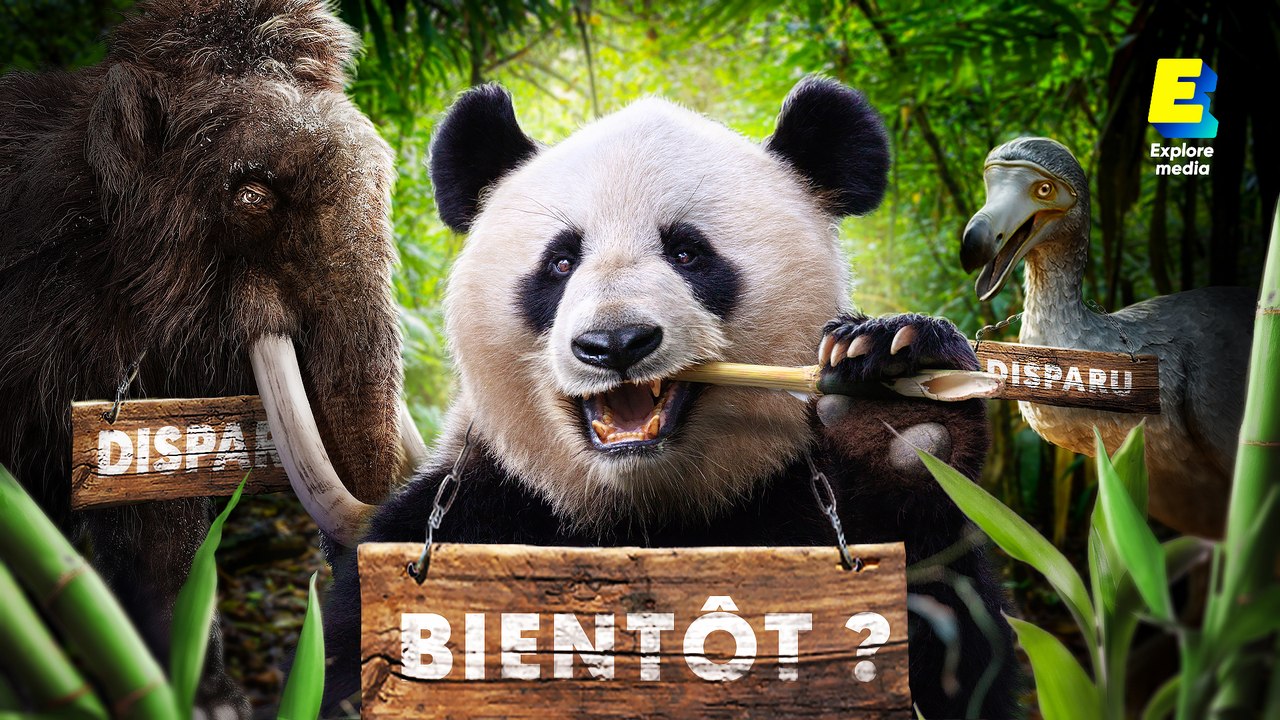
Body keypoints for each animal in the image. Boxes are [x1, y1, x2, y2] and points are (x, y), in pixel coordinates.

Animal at [323, 77, 1020, 718]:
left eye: (687, 252)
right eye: (560, 262)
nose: (615, 343)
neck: (645, 515)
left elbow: (945, 654)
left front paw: (897, 410)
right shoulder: (474, 509)